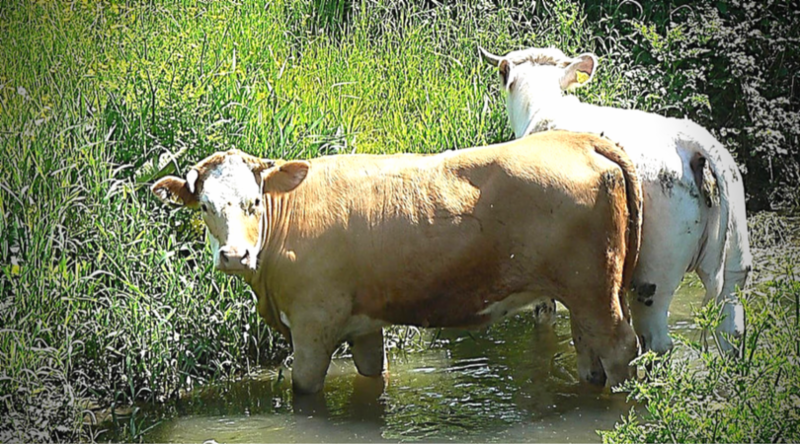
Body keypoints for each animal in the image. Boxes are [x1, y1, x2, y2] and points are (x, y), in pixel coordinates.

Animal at [151, 130, 643, 393]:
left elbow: (304, 392)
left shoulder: (313, 325)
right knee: (589, 351)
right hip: (588, 292)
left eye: (254, 202)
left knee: (620, 349)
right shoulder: (364, 325)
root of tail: (578, 138)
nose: (235, 255)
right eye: (205, 207)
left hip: (594, 290)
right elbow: (373, 376)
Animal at [479, 46, 752, 354]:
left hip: (654, 276)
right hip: (735, 263)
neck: (543, 108)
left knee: (658, 341)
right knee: (731, 329)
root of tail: (689, 142)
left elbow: (544, 315)